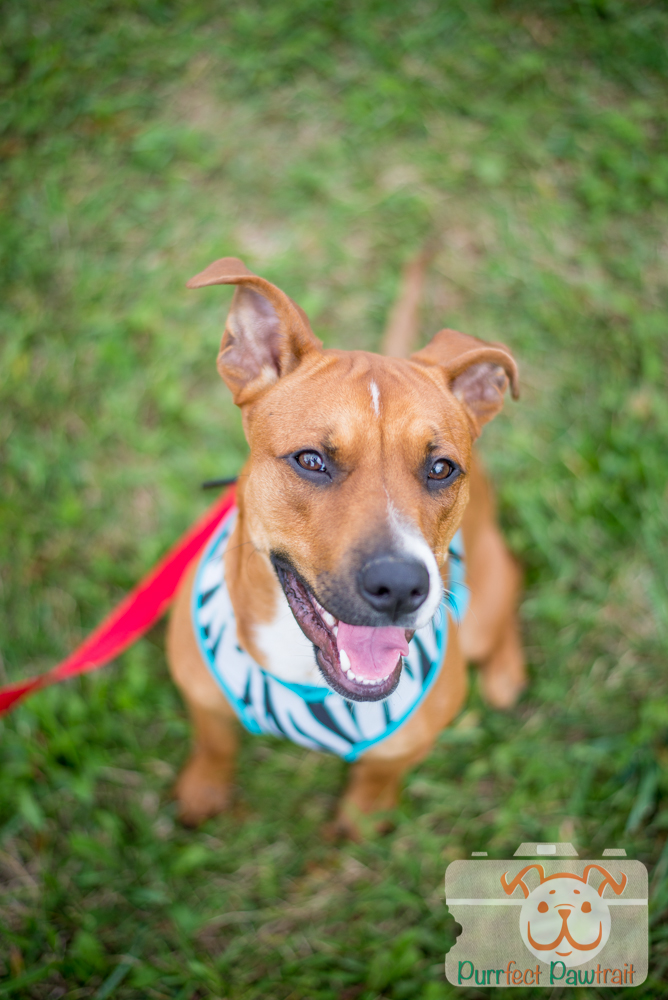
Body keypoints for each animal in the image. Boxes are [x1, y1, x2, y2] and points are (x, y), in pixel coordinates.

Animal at [167, 254, 525, 837]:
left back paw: (505, 672)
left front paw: (363, 815)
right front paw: (204, 787)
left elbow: (381, 773)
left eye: (441, 468)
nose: (400, 585)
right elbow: (214, 741)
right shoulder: (203, 697)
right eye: (311, 460)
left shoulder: (410, 742)